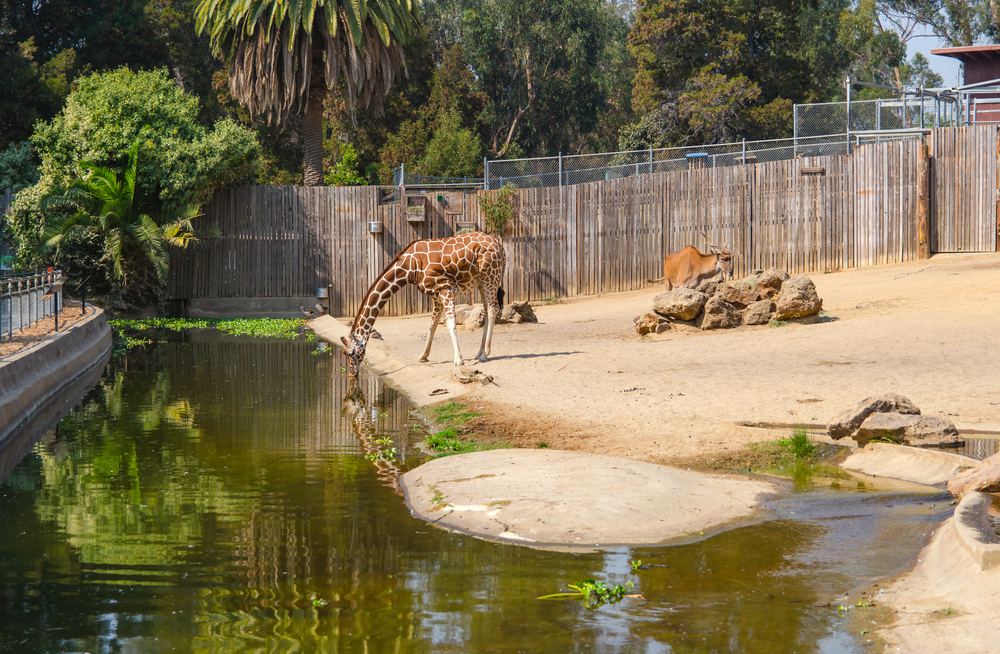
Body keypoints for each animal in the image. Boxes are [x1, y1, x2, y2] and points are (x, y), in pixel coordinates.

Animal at [340, 232, 508, 376]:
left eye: (351, 353)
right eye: (344, 353)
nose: (352, 373)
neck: (409, 268)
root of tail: (500, 247)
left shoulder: (446, 288)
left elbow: (450, 323)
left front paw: (458, 360)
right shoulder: (436, 294)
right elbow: (432, 325)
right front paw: (423, 356)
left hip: (490, 277)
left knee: (493, 308)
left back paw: (485, 354)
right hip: (481, 282)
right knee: (486, 309)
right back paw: (479, 352)